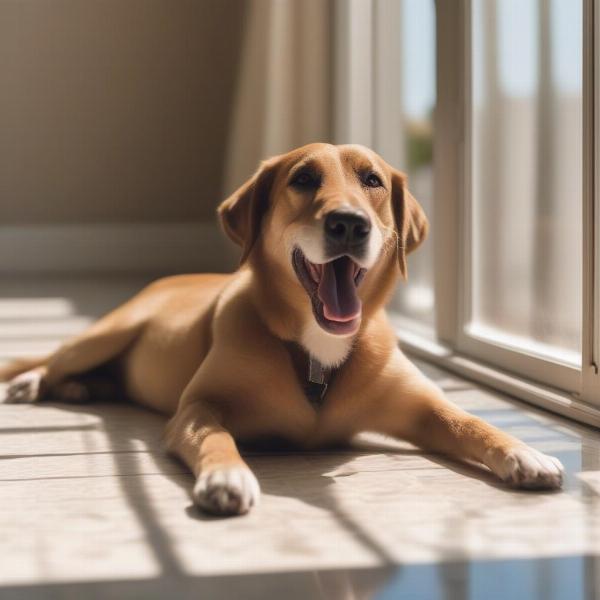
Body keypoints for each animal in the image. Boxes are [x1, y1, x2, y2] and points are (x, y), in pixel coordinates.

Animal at [0, 143, 564, 512]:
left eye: (373, 181)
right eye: (303, 179)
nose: (349, 223)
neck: (316, 349)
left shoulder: (421, 405)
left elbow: (468, 421)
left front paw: (524, 451)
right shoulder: (197, 406)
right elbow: (215, 436)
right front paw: (227, 475)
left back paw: (81, 389)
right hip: (105, 334)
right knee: (55, 358)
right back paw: (36, 381)